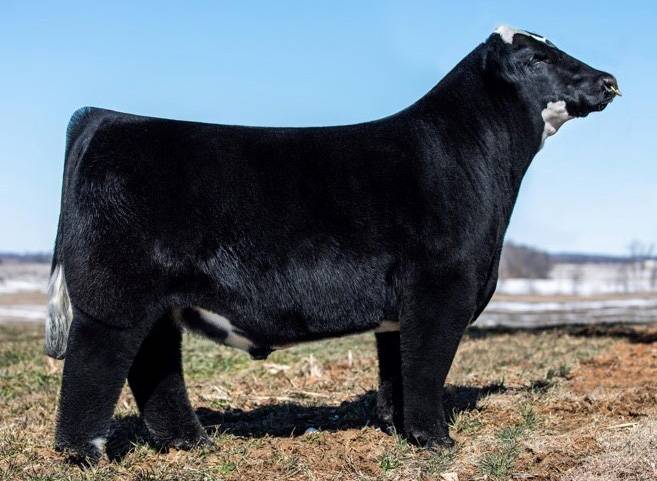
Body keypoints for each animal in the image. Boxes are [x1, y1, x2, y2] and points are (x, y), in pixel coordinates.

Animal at [46, 25, 619, 464]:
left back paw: (192, 443)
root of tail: (106, 117)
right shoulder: (441, 288)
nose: (609, 80)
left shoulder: (400, 309)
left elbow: (398, 373)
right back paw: (86, 455)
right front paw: (436, 441)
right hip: (114, 297)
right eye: (537, 57)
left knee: (155, 365)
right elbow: (428, 366)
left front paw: (401, 430)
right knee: (94, 364)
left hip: (158, 304)